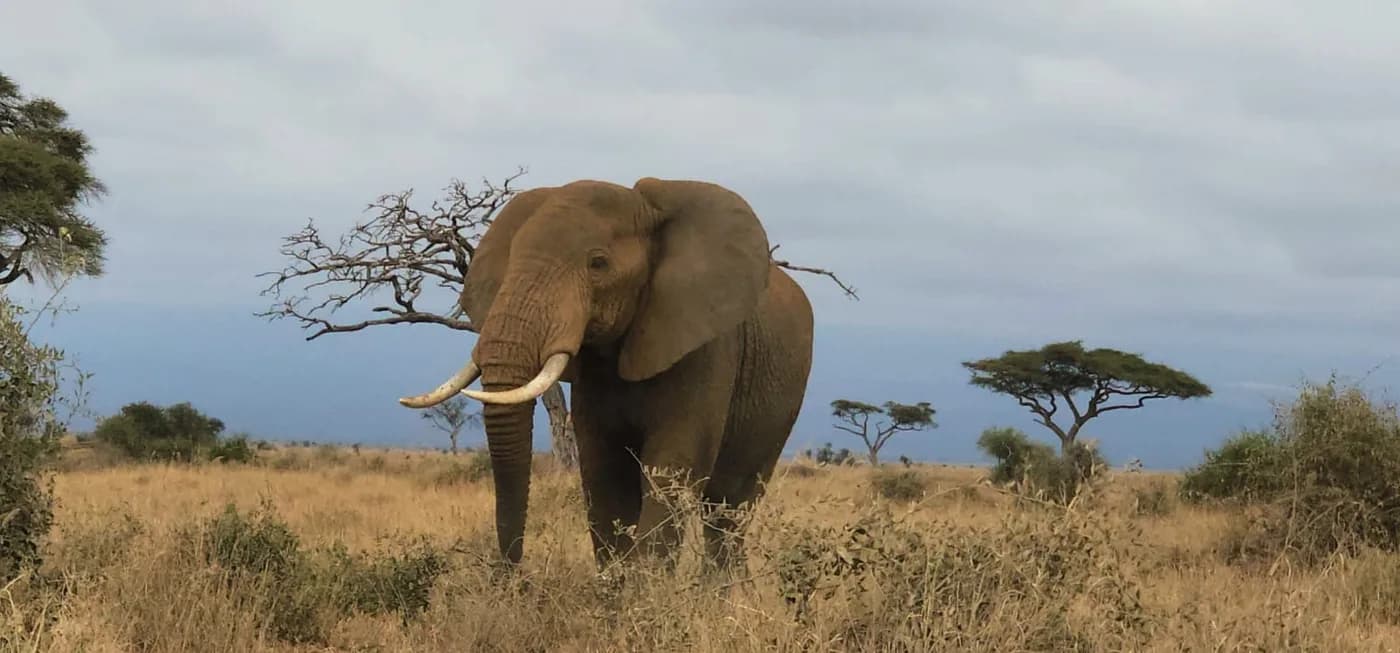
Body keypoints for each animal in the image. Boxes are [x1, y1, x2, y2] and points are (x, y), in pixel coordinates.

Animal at [397, 176, 814, 573]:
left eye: (598, 264)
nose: (512, 575)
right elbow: (604, 473)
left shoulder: (706, 346)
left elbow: (670, 468)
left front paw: (646, 593)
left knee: (729, 509)